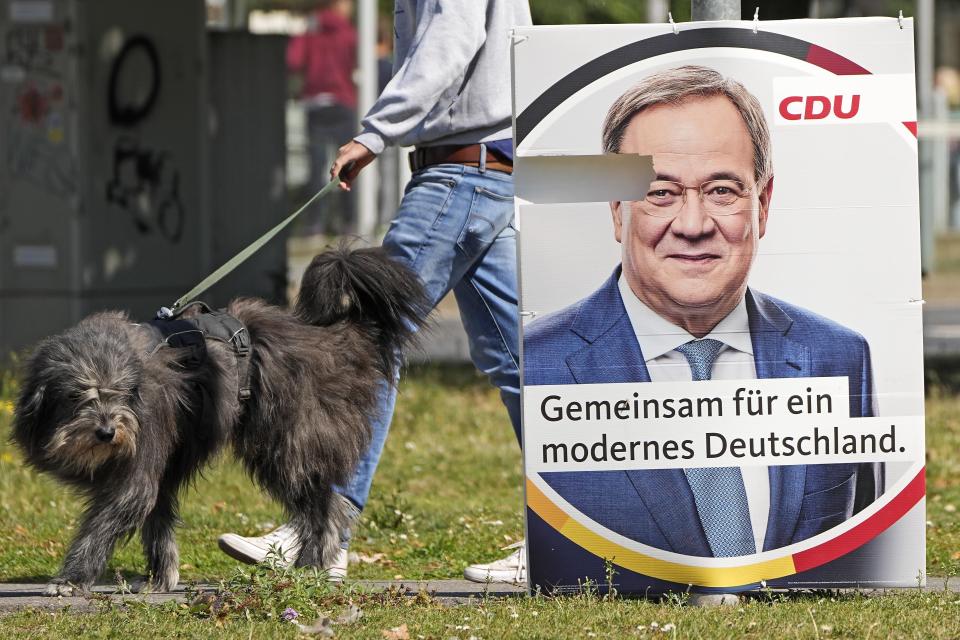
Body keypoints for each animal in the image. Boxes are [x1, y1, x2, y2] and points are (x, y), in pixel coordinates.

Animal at [10, 245, 428, 596]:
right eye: (78, 395)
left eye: (119, 393)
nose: (107, 432)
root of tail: (336, 338)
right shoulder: (162, 465)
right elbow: (158, 519)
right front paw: (160, 578)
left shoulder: (140, 462)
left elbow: (106, 520)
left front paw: (71, 579)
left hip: (288, 444)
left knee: (323, 506)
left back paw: (311, 565)